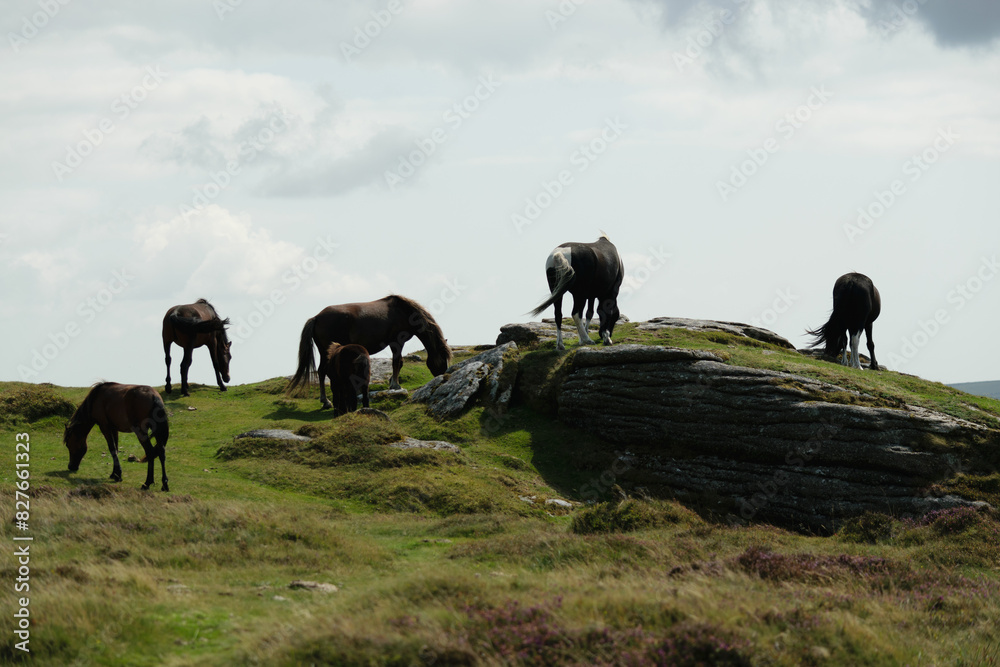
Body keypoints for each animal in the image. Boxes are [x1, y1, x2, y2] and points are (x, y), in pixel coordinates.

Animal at [288, 294, 451, 408]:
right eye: (443, 359)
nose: (443, 376)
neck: (403, 312)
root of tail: (316, 317)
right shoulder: (397, 342)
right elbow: (397, 362)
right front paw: (395, 385)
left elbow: (398, 362)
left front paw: (392, 382)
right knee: (322, 372)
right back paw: (326, 401)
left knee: (321, 372)